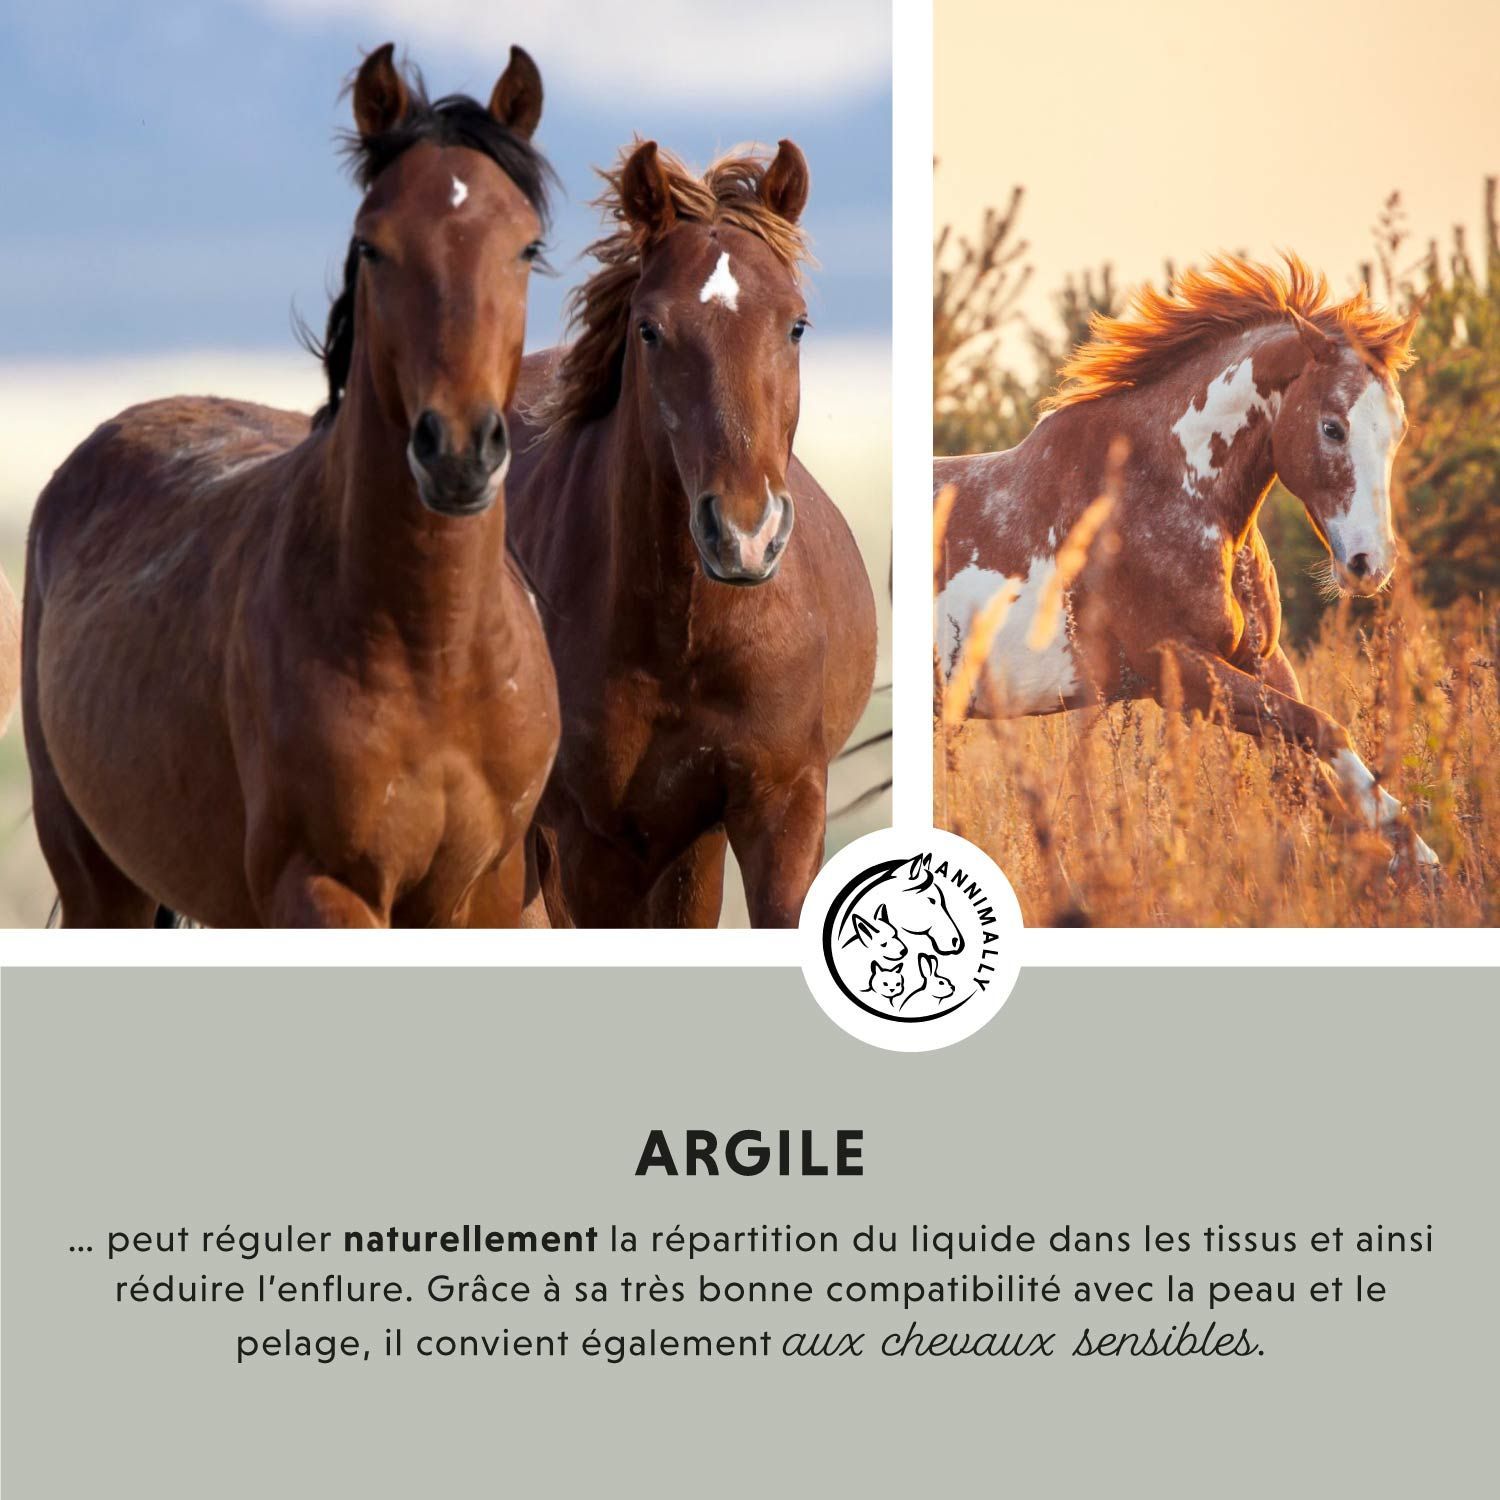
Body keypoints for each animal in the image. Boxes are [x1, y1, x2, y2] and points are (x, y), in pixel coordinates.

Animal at [23, 44, 561, 926]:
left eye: (526, 247)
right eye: (372, 246)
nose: (458, 452)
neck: (435, 654)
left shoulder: (485, 894)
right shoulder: (321, 887)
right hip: (99, 879)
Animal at [506, 139, 877, 927]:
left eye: (795, 324)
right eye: (650, 329)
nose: (744, 533)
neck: (683, 635)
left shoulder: (780, 806)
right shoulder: (589, 844)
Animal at [935, 254, 1438, 867]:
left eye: (1398, 429)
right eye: (1332, 427)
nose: (1371, 564)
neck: (1163, 488)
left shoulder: (1261, 660)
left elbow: (1313, 772)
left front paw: (1408, 856)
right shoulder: (1180, 669)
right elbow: (1324, 731)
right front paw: (1409, 845)